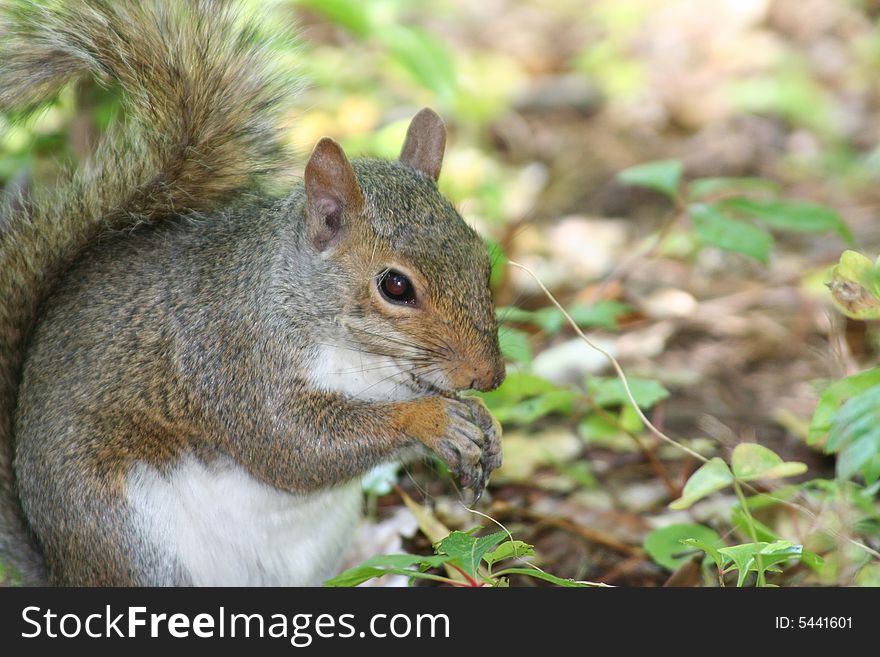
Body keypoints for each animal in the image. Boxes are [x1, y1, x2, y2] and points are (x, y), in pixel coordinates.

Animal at [0, 0, 502, 584]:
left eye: (481, 257)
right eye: (395, 286)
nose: (489, 377)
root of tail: (61, 571)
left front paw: (483, 422)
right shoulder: (232, 360)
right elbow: (293, 445)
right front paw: (431, 419)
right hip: (132, 544)